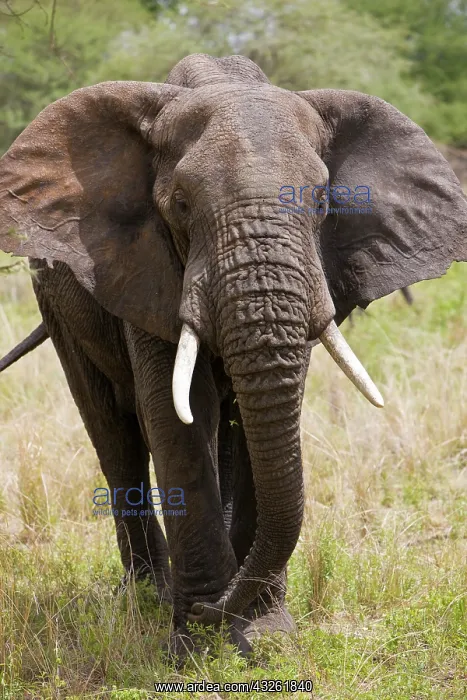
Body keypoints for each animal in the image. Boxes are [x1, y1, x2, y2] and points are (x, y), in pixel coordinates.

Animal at [0, 53, 466, 657]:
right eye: (180, 205)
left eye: (323, 203)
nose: (210, 611)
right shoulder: (145, 268)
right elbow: (176, 414)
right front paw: (197, 643)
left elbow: (256, 416)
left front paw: (261, 633)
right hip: (57, 300)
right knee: (115, 436)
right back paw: (148, 594)